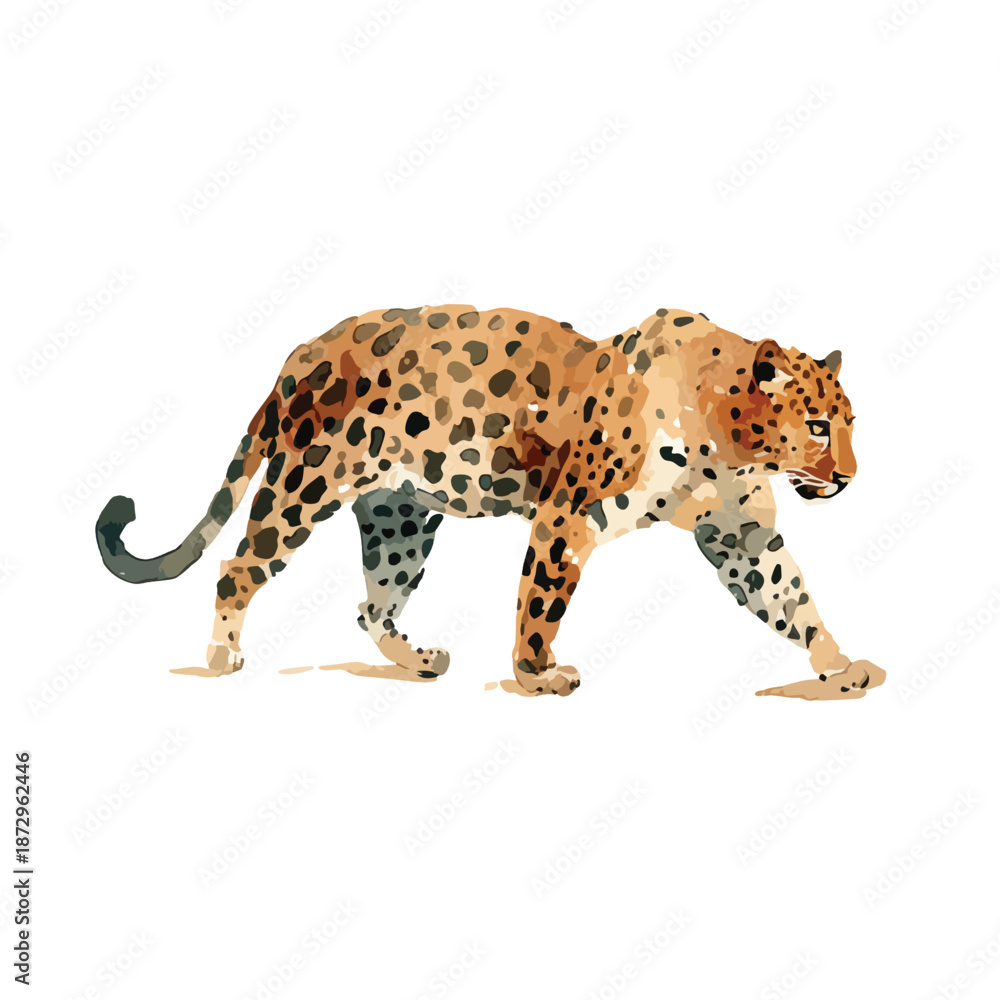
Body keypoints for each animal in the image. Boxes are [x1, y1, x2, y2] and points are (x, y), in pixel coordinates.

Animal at [95, 305, 885, 700]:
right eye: (820, 426)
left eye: (851, 424)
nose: (849, 477)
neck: (723, 434)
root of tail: (298, 356)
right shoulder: (570, 514)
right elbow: (542, 600)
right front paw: (538, 674)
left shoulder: (741, 536)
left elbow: (793, 600)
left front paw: (840, 666)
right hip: (305, 483)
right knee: (239, 568)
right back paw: (223, 655)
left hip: (399, 517)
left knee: (372, 605)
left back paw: (419, 662)